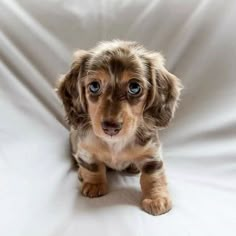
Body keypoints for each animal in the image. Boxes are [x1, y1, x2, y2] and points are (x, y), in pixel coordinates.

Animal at [56, 40, 182, 216]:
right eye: (94, 86)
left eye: (134, 87)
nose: (110, 127)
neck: (115, 143)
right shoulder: (85, 148)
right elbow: (92, 167)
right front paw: (94, 184)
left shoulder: (151, 153)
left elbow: (153, 176)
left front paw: (156, 198)